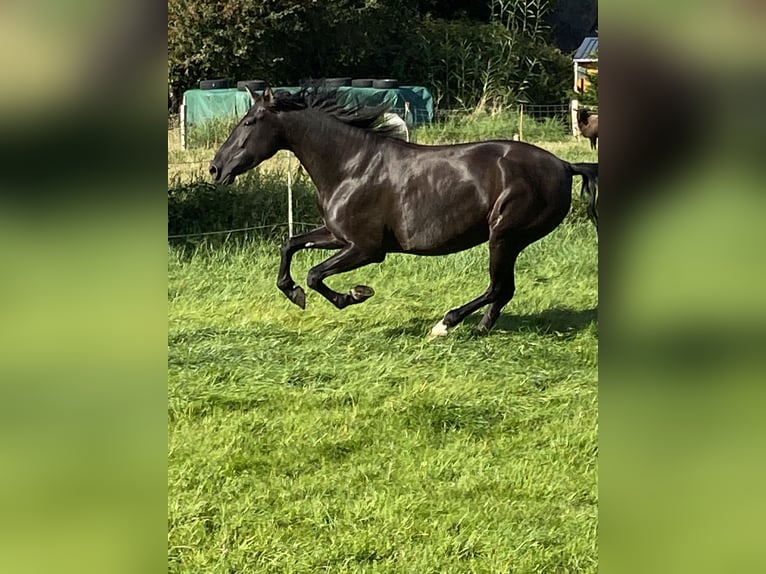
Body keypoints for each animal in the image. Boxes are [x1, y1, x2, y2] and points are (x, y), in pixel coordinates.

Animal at [209, 86, 598, 336]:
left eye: (249, 122)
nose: (215, 168)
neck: (351, 166)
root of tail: (564, 165)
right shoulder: (337, 235)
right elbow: (290, 245)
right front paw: (294, 292)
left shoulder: (367, 248)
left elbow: (316, 275)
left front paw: (354, 294)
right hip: (508, 240)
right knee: (503, 290)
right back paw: (481, 327)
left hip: (504, 236)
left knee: (499, 287)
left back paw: (446, 325)